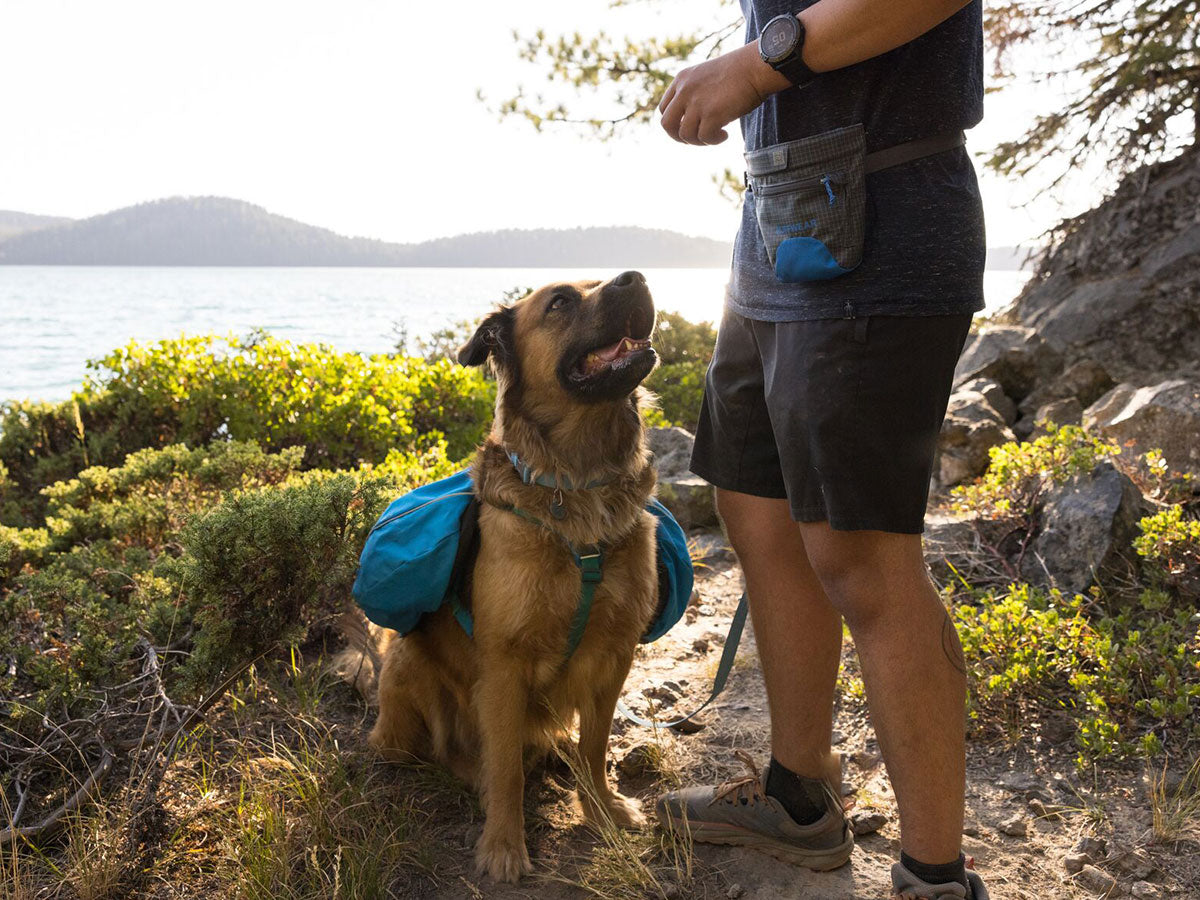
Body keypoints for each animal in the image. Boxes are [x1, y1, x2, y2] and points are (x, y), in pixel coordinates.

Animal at [367, 271, 662, 883]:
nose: (638, 277)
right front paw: (503, 846)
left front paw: (601, 809)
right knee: (439, 750)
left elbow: (595, 745)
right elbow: (504, 766)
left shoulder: (615, 654)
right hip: (408, 662)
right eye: (561, 302)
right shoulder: (504, 665)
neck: (578, 484)